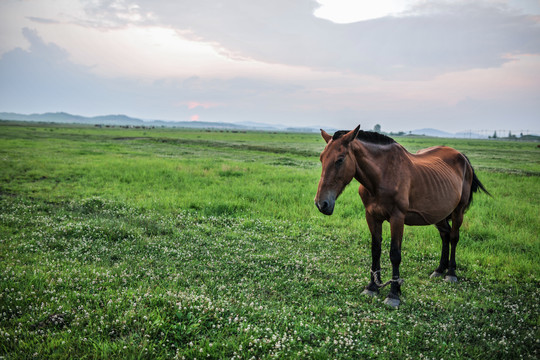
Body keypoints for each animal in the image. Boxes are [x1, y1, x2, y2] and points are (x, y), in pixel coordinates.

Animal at [314, 125, 492, 308]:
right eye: (322, 158)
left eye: (340, 159)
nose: (322, 204)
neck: (383, 175)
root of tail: (463, 158)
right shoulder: (372, 217)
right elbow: (375, 250)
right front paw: (372, 287)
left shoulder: (397, 218)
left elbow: (395, 254)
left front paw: (394, 293)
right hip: (438, 214)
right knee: (445, 235)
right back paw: (439, 269)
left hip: (458, 211)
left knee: (454, 237)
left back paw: (450, 273)